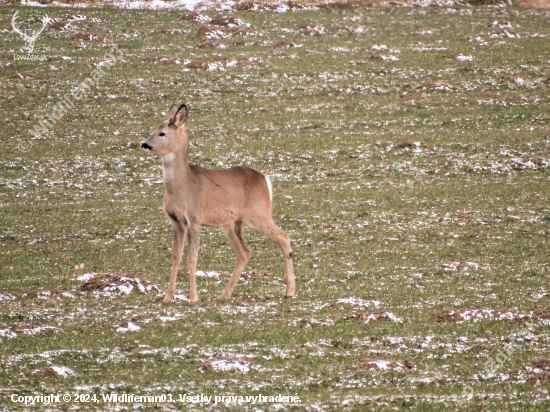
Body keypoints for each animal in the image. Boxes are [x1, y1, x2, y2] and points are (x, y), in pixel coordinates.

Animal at [141, 103, 298, 302]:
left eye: (162, 133)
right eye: (154, 129)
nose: (144, 144)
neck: (182, 186)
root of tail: (265, 179)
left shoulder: (194, 218)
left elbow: (192, 258)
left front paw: (193, 298)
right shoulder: (176, 221)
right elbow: (176, 256)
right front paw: (167, 297)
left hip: (258, 213)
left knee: (283, 237)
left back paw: (289, 291)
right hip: (232, 223)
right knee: (244, 252)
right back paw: (225, 294)